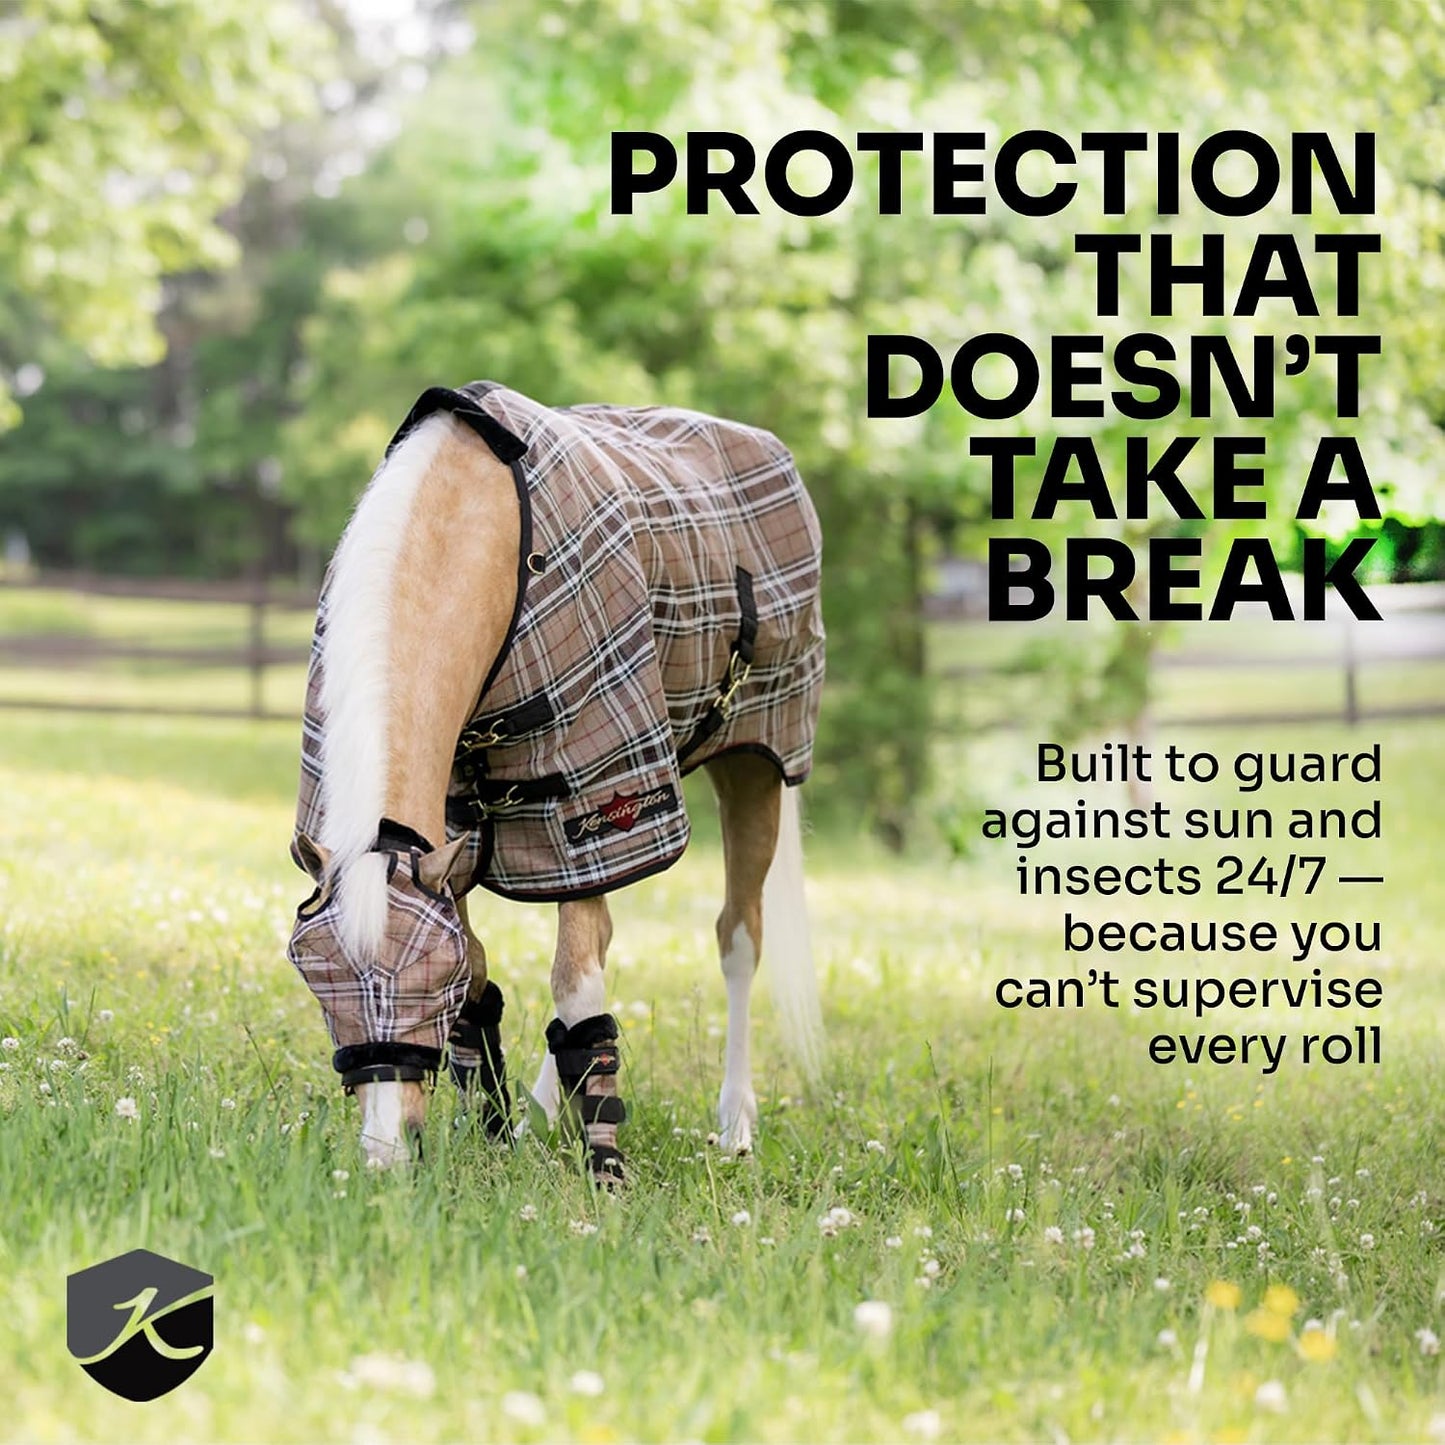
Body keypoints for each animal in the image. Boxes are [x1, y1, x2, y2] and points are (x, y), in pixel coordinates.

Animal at [286, 382, 826, 1176]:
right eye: (317, 980)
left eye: (428, 984)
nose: (385, 1153)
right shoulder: (453, 827)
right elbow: (495, 974)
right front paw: (489, 1129)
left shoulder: (588, 791)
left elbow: (576, 983)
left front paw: (603, 1161)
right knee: (602, 935)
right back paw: (540, 1112)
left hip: (750, 765)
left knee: (737, 937)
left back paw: (733, 1125)